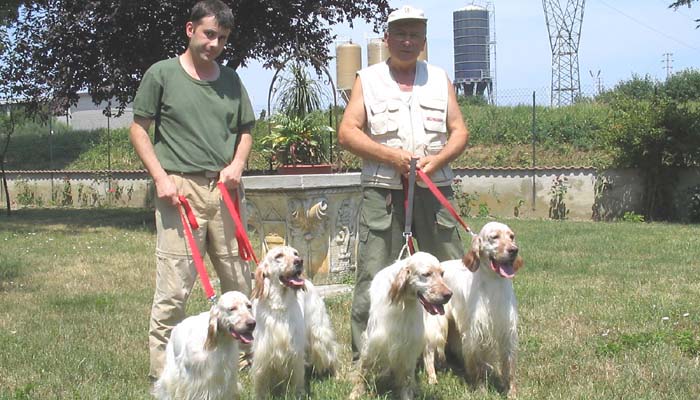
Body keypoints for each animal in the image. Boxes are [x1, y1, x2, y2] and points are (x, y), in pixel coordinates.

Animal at [252, 245, 340, 398]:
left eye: (295, 253)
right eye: (278, 256)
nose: (299, 261)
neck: (279, 306)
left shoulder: (295, 352)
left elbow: (297, 381)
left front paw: (298, 394)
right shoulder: (262, 353)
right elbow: (261, 385)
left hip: (319, 335)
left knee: (332, 352)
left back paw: (337, 375)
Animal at [350, 253, 454, 400]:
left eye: (442, 273)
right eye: (426, 274)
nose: (449, 295)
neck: (402, 302)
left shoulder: (409, 345)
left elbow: (406, 377)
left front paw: (407, 395)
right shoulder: (373, 341)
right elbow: (363, 369)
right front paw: (356, 392)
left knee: (428, 355)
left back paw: (432, 378)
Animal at [424, 222, 524, 396]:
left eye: (511, 236)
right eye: (494, 237)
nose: (514, 250)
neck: (493, 283)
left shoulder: (507, 330)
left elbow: (509, 366)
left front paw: (511, 392)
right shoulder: (476, 333)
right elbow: (477, 366)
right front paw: (481, 389)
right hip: (438, 324)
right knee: (430, 353)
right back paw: (433, 378)